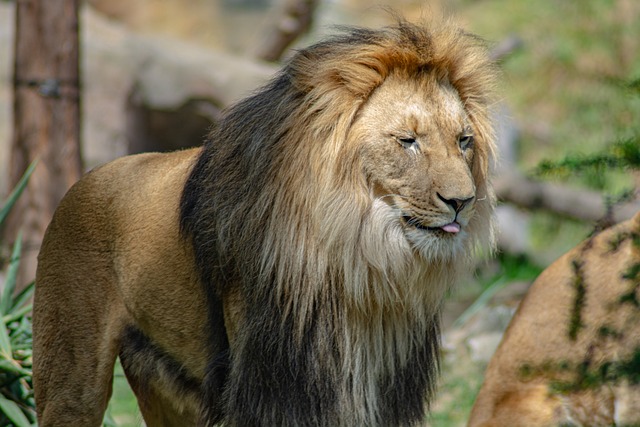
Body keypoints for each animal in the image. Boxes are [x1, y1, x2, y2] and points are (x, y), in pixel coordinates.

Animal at [33, 20, 497, 426]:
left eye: (463, 140)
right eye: (407, 141)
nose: (462, 202)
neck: (358, 265)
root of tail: (83, 180)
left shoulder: (380, 391)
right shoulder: (273, 386)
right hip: (70, 379)